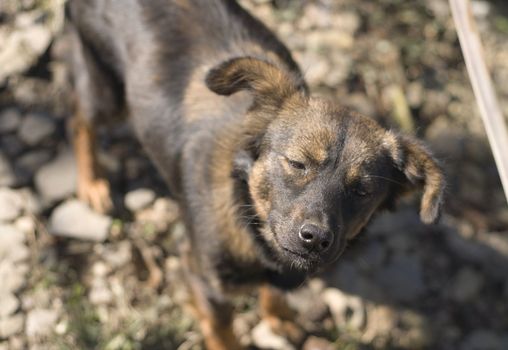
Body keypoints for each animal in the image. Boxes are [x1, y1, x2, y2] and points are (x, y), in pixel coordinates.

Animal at [66, 0, 444, 348]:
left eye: (363, 191)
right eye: (297, 163)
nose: (316, 238)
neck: (249, 215)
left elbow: (274, 293)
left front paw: (279, 317)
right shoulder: (204, 281)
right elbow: (223, 333)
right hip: (107, 93)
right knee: (80, 119)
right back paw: (91, 183)